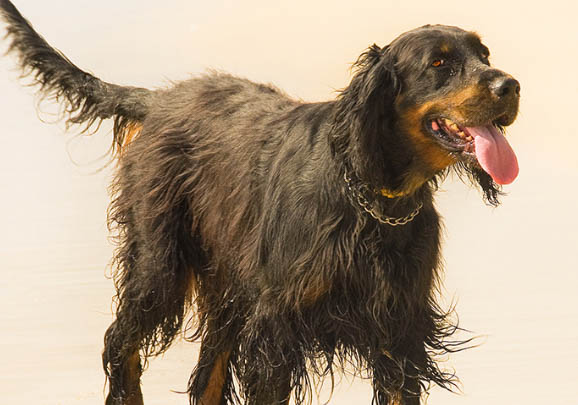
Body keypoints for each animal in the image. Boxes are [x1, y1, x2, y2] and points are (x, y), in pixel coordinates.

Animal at [0, 1, 520, 402]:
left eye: (484, 54)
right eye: (439, 64)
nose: (510, 85)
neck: (372, 197)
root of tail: (160, 99)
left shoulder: (400, 329)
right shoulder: (276, 329)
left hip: (228, 284)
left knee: (205, 378)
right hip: (159, 263)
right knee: (120, 345)